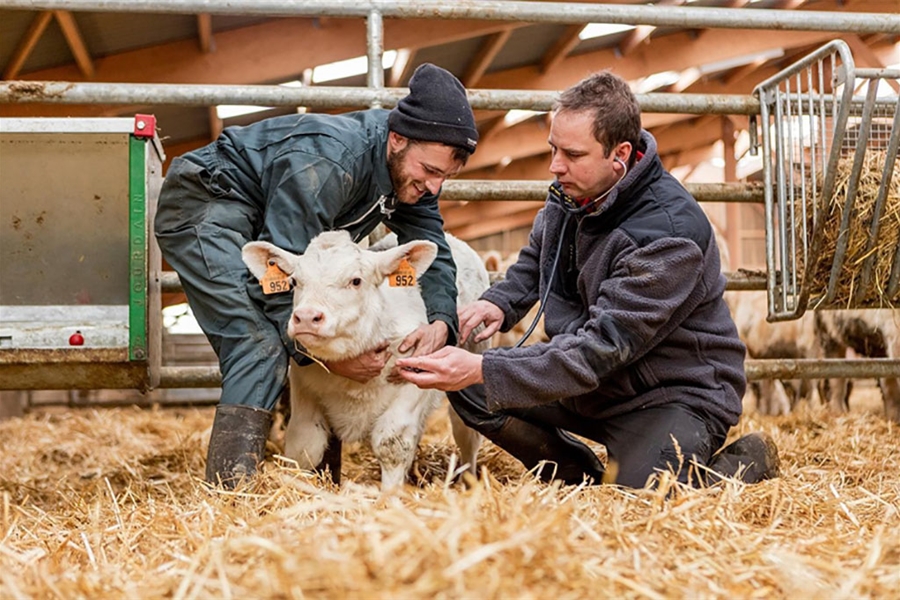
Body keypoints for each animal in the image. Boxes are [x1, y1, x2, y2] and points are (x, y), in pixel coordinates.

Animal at [243, 229, 488, 488]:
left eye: (356, 281)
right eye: (295, 282)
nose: (307, 317)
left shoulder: (415, 378)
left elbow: (392, 443)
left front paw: (390, 495)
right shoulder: (303, 385)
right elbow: (304, 445)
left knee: (466, 433)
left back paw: (469, 482)